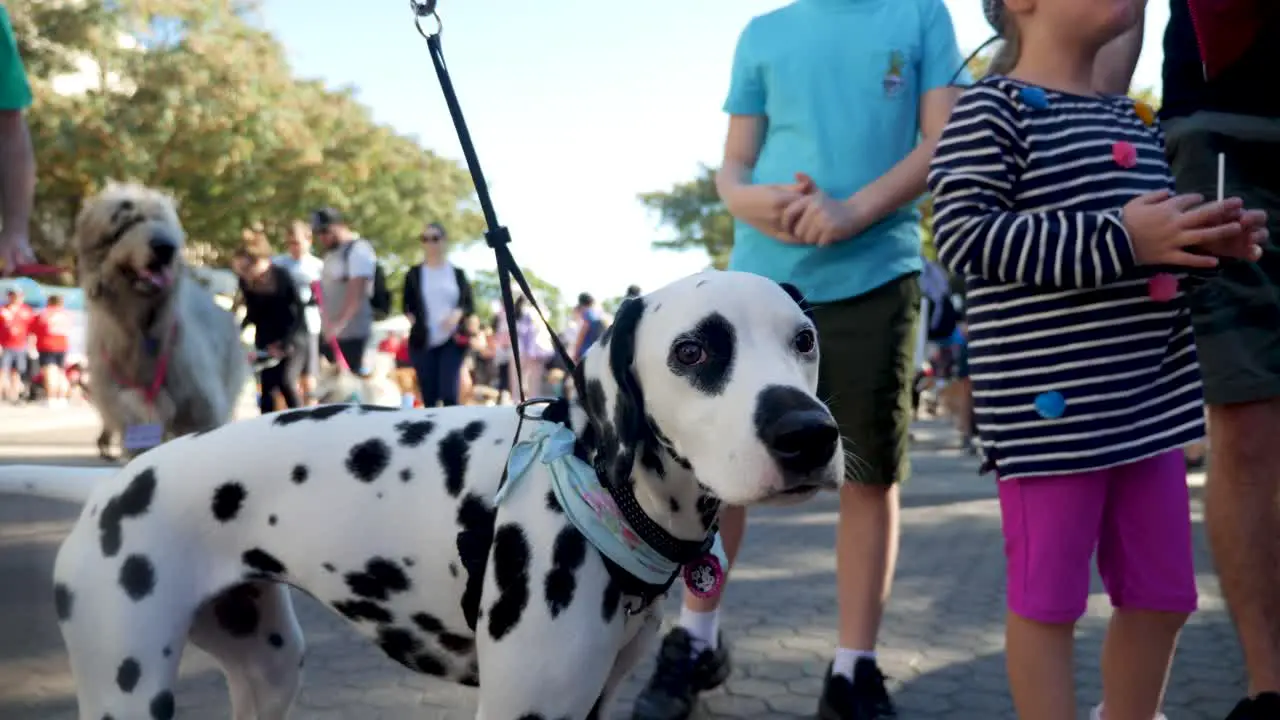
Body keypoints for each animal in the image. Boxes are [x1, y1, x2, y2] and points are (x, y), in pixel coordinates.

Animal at [0, 269, 849, 717]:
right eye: (692, 351)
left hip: (265, 667)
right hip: (126, 688)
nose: (809, 434)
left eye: (805, 340)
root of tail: (116, 482)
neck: (603, 491)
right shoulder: (525, 708)